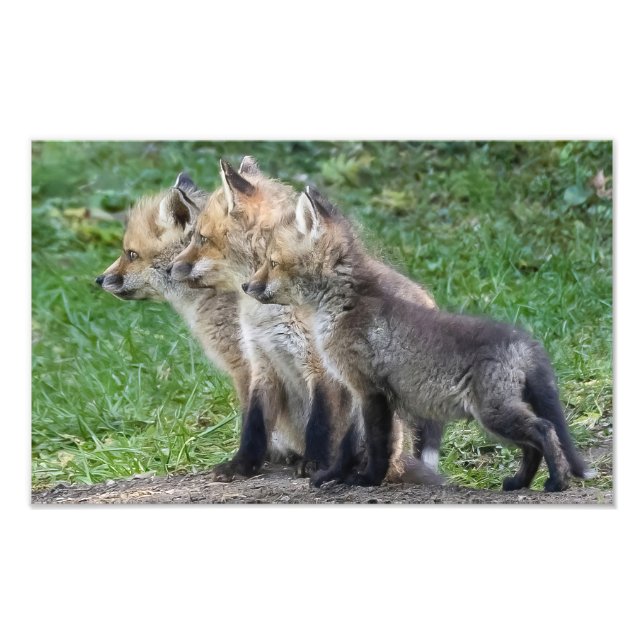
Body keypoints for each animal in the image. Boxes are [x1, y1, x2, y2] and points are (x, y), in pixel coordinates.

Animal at [170, 158, 444, 484]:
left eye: (201, 238)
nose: (170, 268)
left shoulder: (321, 366)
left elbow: (320, 424)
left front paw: (314, 464)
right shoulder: (262, 363)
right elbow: (253, 427)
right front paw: (242, 466)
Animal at [243, 185, 594, 491]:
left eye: (271, 262)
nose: (247, 287)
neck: (344, 302)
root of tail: (524, 340)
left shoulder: (371, 391)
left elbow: (377, 446)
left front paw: (367, 479)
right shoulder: (358, 392)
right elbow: (347, 446)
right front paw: (335, 476)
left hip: (494, 414)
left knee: (545, 430)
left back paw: (557, 482)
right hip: (499, 418)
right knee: (532, 446)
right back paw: (519, 483)